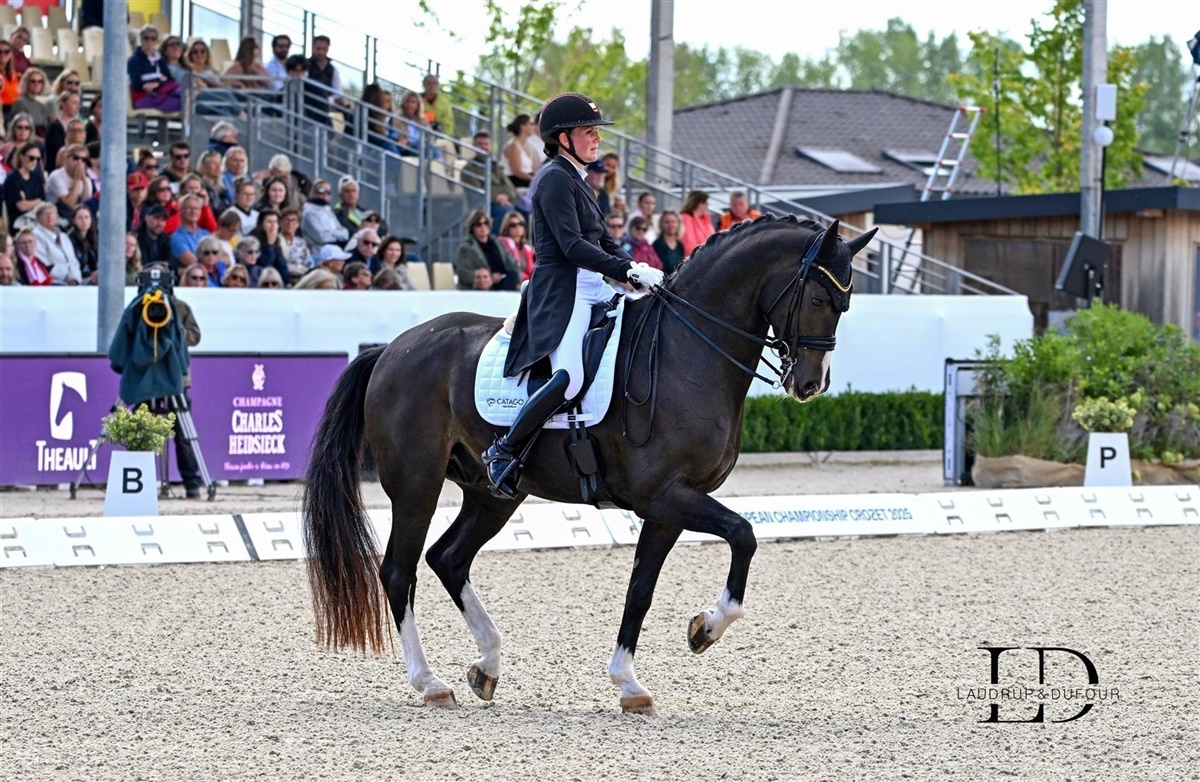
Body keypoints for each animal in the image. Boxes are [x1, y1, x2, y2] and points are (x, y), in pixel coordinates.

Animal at [302, 215, 876, 716]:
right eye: (819, 297)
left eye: (846, 304)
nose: (809, 384)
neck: (689, 349)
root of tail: (392, 349)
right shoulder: (665, 494)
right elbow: (744, 534)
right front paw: (705, 630)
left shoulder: (667, 507)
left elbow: (640, 591)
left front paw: (630, 684)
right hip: (416, 486)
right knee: (399, 571)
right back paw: (430, 683)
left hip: (494, 494)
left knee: (449, 557)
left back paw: (486, 665)